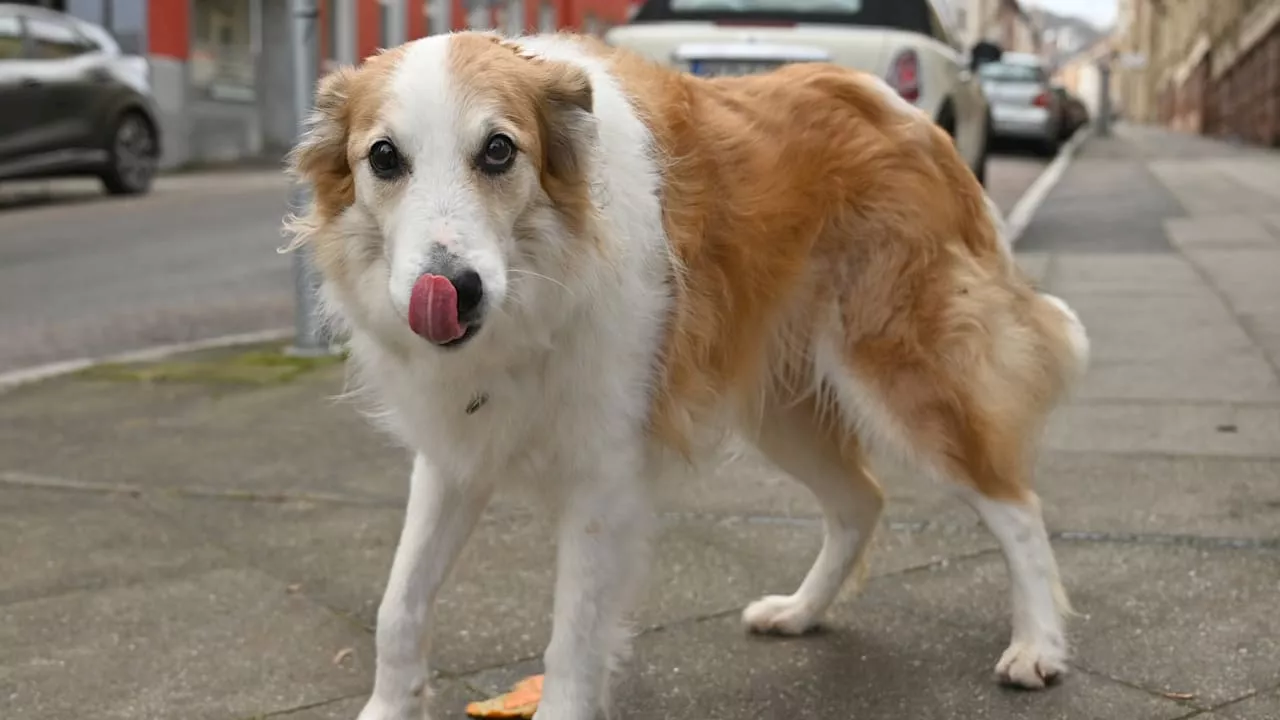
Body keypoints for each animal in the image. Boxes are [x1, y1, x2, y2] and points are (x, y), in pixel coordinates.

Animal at [288, 29, 1090, 717]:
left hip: (903, 373)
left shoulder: (602, 479)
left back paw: (1038, 646)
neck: (542, 274)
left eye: (497, 151)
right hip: (783, 412)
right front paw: (386, 708)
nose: (453, 290)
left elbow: (573, 638)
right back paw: (800, 612)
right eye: (384, 158)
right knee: (861, 501)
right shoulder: (452, 457)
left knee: (1014, 504)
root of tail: (912, 119)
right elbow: (399, 606)